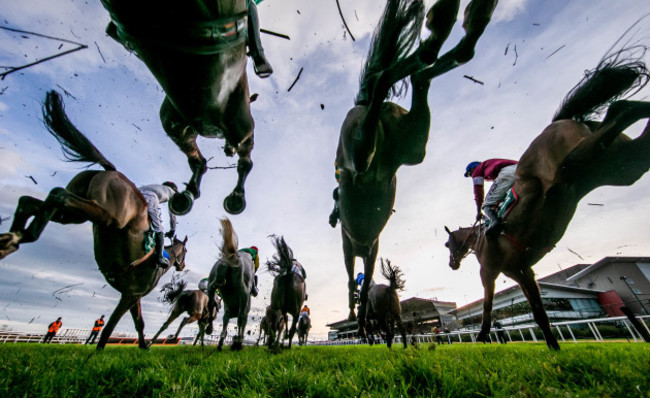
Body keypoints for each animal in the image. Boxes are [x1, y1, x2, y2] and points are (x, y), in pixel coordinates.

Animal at [0, 90, 187, 348]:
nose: (182, 265)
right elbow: (112, 328)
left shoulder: (132, 294)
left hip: (75, 215)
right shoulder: (132, 293)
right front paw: (103, 350)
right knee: (59, 196)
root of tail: (111, 170)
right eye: (185, 253)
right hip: (106, 215)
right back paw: (23, 236)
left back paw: (14, 238)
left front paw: (143, 346)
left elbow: (138, 323)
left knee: (34, 199)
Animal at [205, 216, 253, 350]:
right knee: (240, 318)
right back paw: (237, 343)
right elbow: (239, 326)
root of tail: (232, 258)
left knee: (211, 303)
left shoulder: (226, 314)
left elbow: (225, 329)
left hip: (213, 284)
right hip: (243, 293)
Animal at [334, 0, 496, 332]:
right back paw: (452, 27)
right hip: (411, 148)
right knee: (421, 74)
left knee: (389, 82)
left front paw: (357, 315)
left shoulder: (355, 251)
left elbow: (355, 282)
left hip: (369, 152)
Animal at [442, 47, 648, 352]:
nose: (451, 264)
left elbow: (489, 307)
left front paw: (480, 339)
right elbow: (539, 311)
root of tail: (559, 122)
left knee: (620, 109)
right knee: (626, 114)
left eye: (447, 244)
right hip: (617, 165)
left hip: (576, 162)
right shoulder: (521, 270)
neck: (478, 239)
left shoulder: (490, 271)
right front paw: (553, 347)